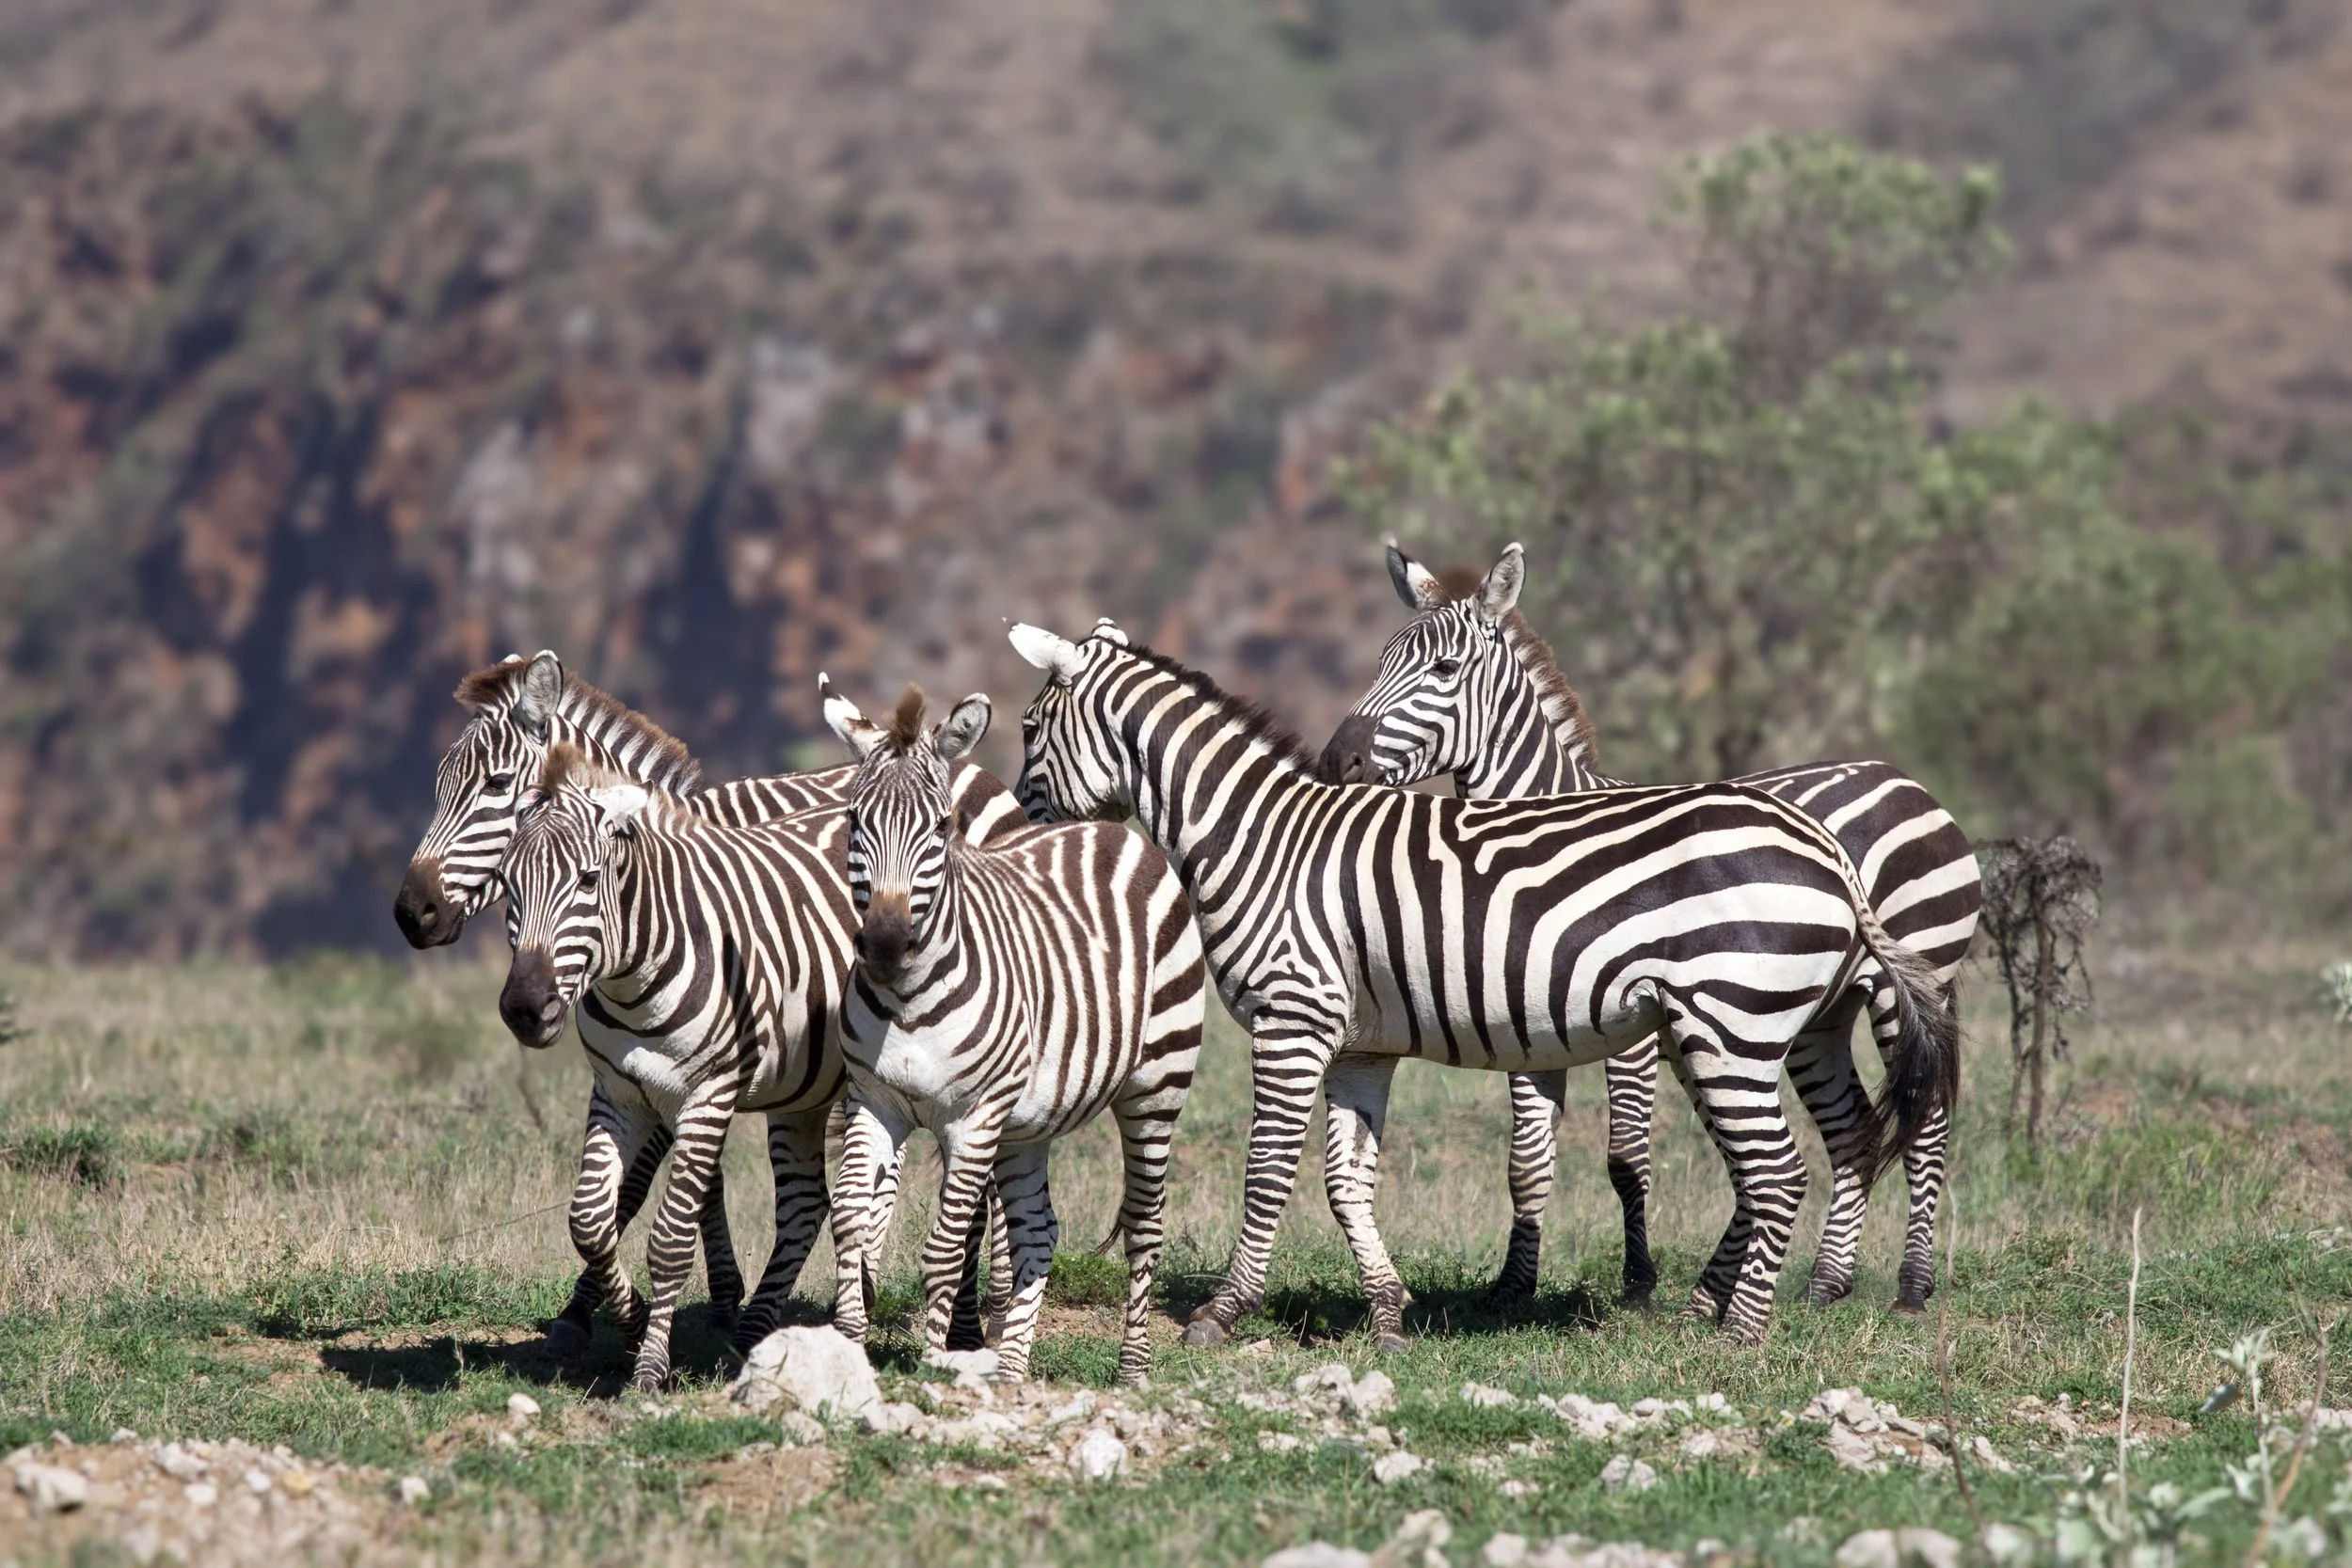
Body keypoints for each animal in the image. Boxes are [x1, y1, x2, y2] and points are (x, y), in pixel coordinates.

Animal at [396, 651, 1022, 1359]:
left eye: (497, 785)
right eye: (438, 786)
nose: (411, 912)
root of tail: (978, 771)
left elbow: (639, 1186)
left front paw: (596, 1310)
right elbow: (678, 1186)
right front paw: (710, 1296)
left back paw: (976, 1318)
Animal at [819, 681, 1204, 1384]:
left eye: (941, 826)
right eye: (854, 821)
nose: (884, 945)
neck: (908, 1000)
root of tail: (1115, 831)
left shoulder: (973, 1117)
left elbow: (944, 1250)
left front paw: (931, 1362)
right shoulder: (874, 1102)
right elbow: (853, 1223)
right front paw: (848, 1345)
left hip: (1157, 1084)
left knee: (1145, 1225)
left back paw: (1132, 1369)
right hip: (1028, 1119)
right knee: (1038, 1228)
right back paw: (1010, 1369)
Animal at [1007, 619, 1958, 1346]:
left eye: (1026, 729)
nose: (1017, 829)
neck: (1260, 838)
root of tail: (1827, 848)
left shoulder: (1293, 1018)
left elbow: (1270, 1171)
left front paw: (1222, 1311)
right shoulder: (1359, 1044)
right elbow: (1346, 1180)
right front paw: (1388, 1311)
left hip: (1734, 1027)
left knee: (1784, 1170)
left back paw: (1746, 1332)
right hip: (1767, 1029)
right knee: (1834, 1144)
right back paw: (1760, 1302)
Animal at [1322, 541, 1981, 1313]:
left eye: (1444, 670)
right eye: (1379, 663)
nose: (1337, 761)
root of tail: (1902, 777)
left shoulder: (1630, 1036)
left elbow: (1625, 1159)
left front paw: (1637, 1283)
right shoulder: (1527, 1028)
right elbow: (1527, 1161)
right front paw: (1513, 1286)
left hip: (1911, 984)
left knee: (1925, 1123)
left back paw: (1911, 1284)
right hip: (1816, 1018)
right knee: (1852, 1129)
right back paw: (1823, 1281)